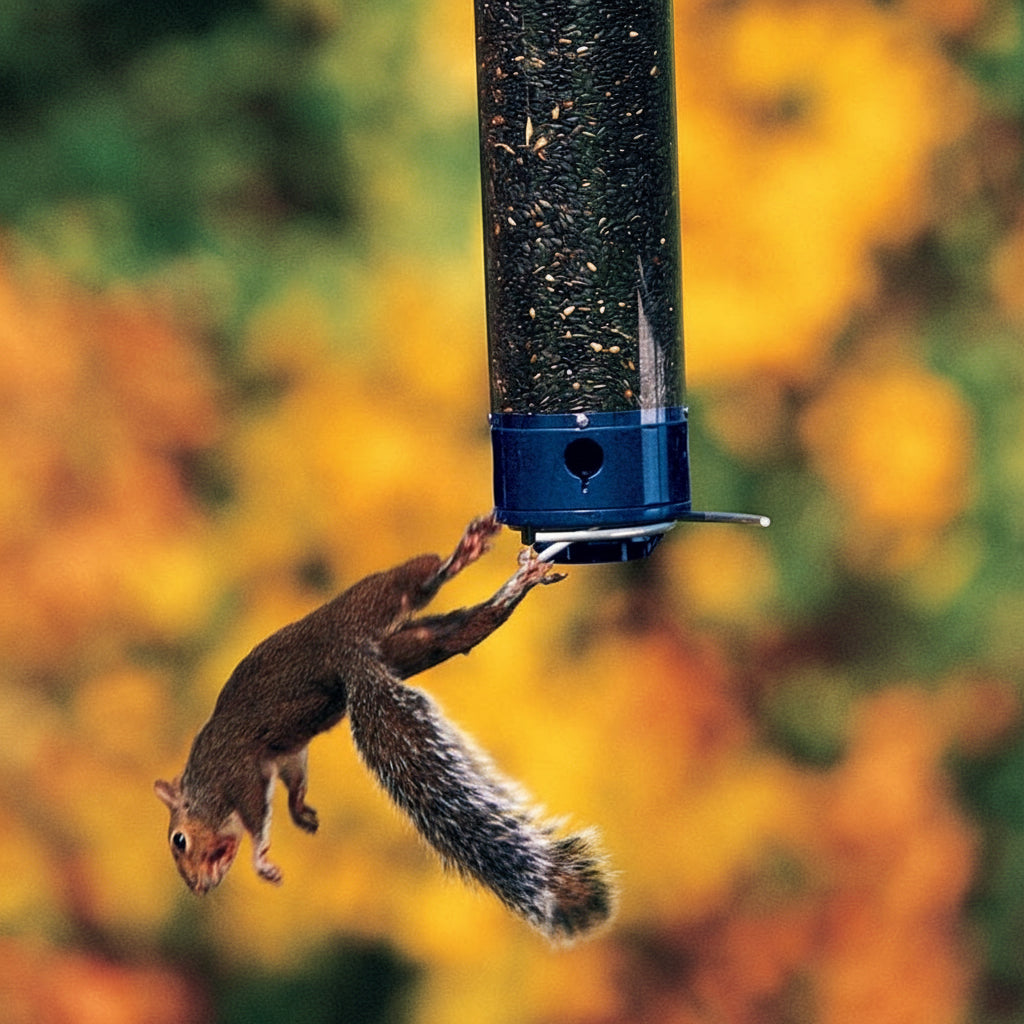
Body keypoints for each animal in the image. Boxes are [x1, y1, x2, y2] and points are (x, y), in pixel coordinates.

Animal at [155, 513, 616, 943]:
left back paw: (465, 552)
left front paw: (262, 858)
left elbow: (256, 815)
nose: (198, 888)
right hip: (412, 644)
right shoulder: (285, 754)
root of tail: (348, 652)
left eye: (179, 841)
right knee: (465, 628)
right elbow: (295, 776)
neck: (203, 785)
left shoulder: (237, 771)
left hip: (372, 601)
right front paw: (301, 812)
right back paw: (513, 590)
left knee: (422, 580)